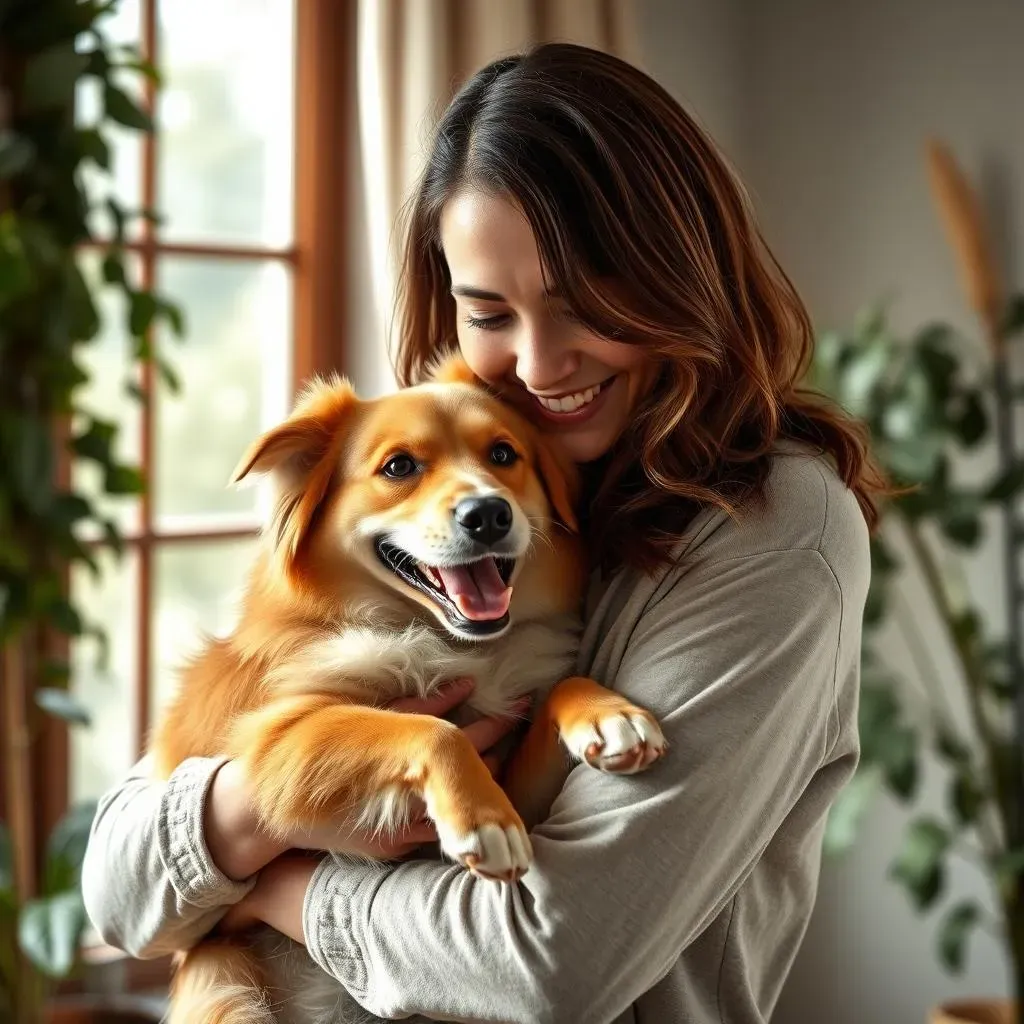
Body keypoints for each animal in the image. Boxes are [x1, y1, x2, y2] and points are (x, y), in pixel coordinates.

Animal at [149, 354, 663, 1024]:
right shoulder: (277, 735)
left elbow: (561, 686)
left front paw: (608, 717)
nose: (488, 513)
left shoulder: (521, 780)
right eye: (399, 467)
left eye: (503, 454)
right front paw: (482, 819)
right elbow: (430, 727)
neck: (448, 642)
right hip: (225, 981)